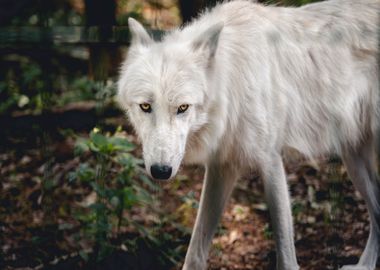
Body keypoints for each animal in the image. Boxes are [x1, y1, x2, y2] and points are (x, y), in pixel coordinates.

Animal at [117, 0, 378, 268]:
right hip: (354, 159)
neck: (231, 83)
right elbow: (195, 254)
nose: (161, 171)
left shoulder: (271, 162)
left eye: (182, 108)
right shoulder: (222, 166)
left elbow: (286, 255)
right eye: (145, 106)